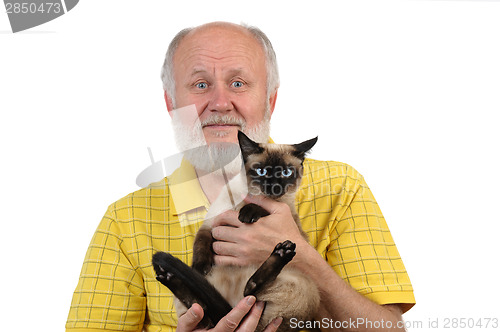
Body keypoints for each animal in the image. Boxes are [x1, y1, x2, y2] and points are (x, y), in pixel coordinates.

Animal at [152, 131, 320, 330]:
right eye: (262, 171)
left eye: (287, 172)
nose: (274, 188)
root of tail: (232, 308)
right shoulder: (210, 224)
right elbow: (200, 244)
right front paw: (200, 268)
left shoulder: (288, 218)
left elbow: (262, 207)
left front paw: (247, 214)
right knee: (204, 312)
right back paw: (168, 277)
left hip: (305, 285)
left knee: (250, 292)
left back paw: (282, 252)